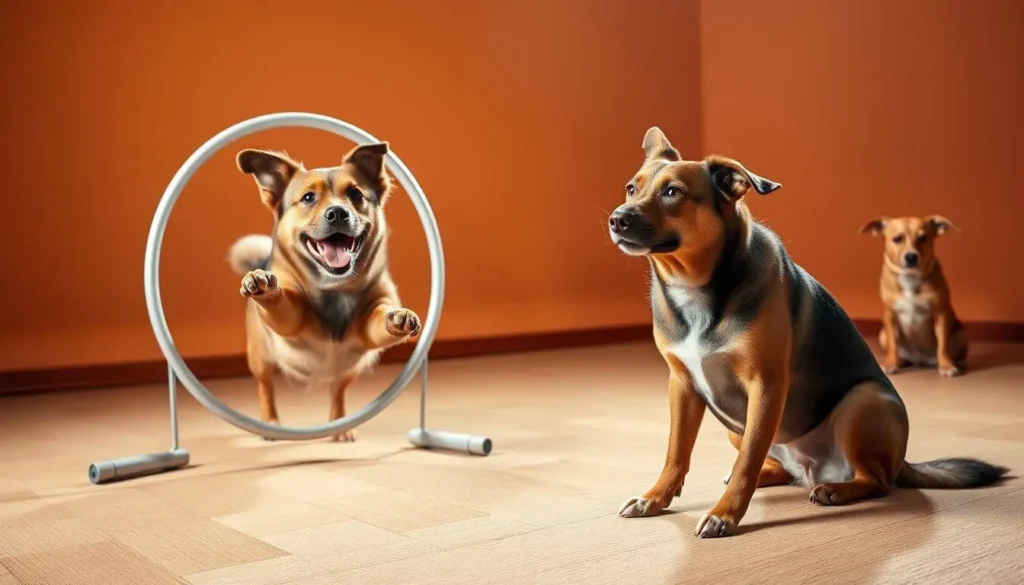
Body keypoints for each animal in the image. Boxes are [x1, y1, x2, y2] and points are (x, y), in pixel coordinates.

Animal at [228, 144, 419, 442]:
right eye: (308, 198)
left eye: (355, 194)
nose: (338, 213)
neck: (335, 288)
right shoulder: (290, 317)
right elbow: (282, 305)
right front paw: (266, 288)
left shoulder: (370, 320)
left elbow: (379, 317)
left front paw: (396, 317)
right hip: (260, 359)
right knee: (265, 387)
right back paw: (270, 422)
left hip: (348, 369)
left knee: (337, 390)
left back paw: (339, 425)